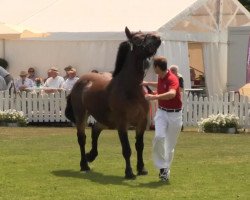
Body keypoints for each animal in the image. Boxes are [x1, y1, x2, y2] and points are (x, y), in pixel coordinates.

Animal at [64, 27, 161, 180]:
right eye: (136, 38)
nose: (157, 38)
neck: (130, 88)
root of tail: (80, 81)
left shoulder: (142, 122)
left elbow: (139, 146)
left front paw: (141, 169)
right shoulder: (122, 123)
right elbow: (127, 149)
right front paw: (129, 172)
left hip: (107, 120)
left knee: (96, 129)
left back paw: (91, 156)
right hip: (82, 116)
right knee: (82, 138)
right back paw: (84, 164)